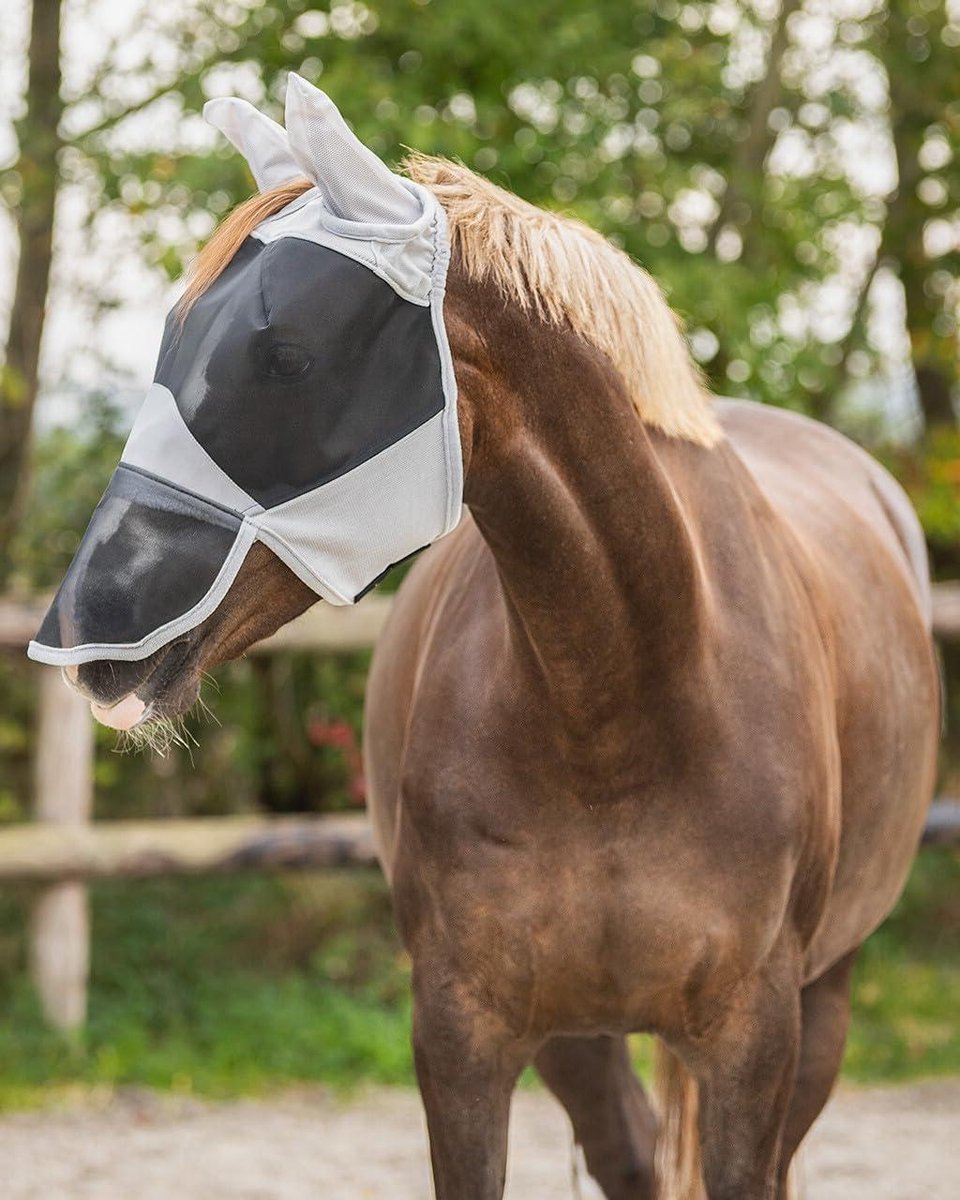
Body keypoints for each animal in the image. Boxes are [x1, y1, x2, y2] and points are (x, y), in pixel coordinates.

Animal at [36, 80, 939, 1200]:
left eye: (286, 355)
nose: (87, 634)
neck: (626, 705)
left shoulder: (755, 1043)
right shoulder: (464, 1034)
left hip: (826, 1001)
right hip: (581, 1037)